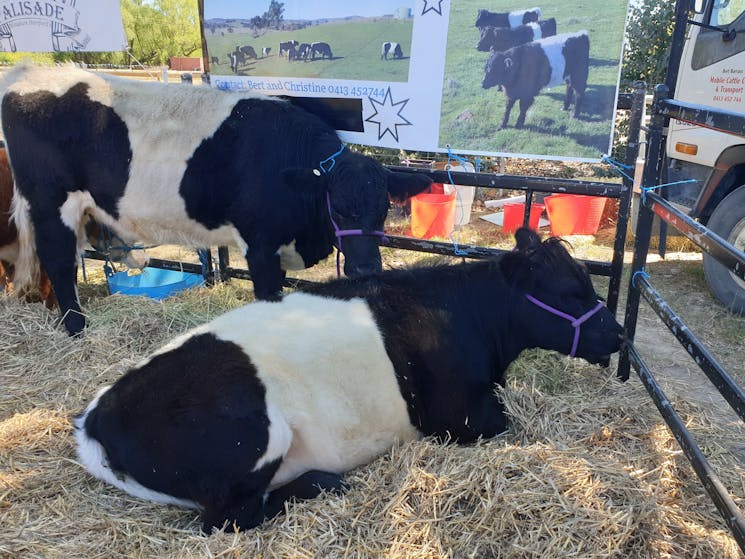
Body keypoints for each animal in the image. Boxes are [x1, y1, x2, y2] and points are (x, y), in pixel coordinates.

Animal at [0, 65, 430, 336]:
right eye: (337, 208)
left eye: (384, 208)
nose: (366, 268)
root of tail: (28, 72)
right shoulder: (260, 246)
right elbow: (268, 296)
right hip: (50, 202)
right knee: (57, 260)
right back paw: (76, 328)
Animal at [75, 229, 620, 532]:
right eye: (570, 292)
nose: (615, 332)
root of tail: (96, 417)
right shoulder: (463, 418)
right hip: (259, 435)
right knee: (227, 519)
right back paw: (323, 481)